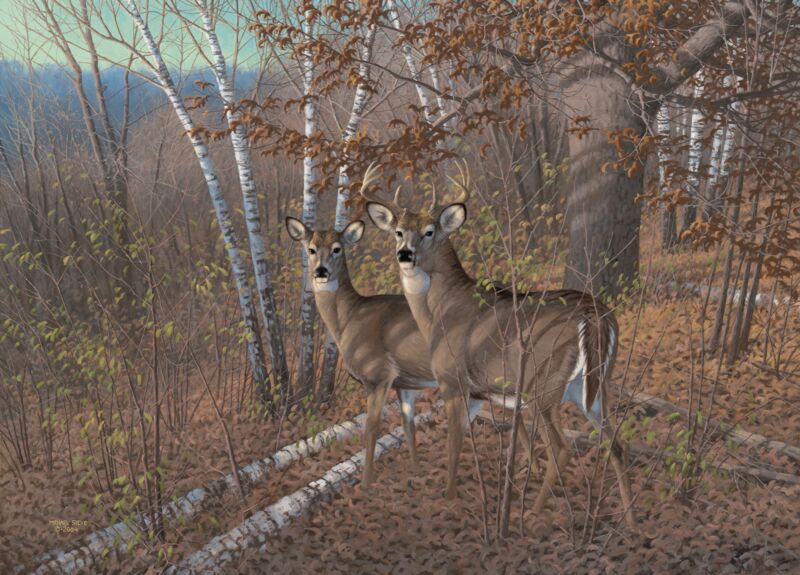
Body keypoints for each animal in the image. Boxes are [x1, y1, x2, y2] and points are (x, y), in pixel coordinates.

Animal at [284, 166, 439, 486]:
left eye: (337, 248)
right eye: (310, 249)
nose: (321, 272)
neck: (349, 320)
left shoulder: (378, 375)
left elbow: (371, 428)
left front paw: (366, 483)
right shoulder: (404, 382)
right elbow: (408, 424)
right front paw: (416, 470)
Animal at [364, 163, 636, 528]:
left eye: (430, 231)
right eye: (397, 231)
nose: (405, 254)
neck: (440, 312)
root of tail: (596, 317)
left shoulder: (453, 380)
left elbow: (454, 443)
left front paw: (449, 499)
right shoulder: (481, 393)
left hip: (543, 384)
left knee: (563, 448)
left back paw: (532, 515)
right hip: (595, 386)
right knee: (618, 444)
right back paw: (631, 522)